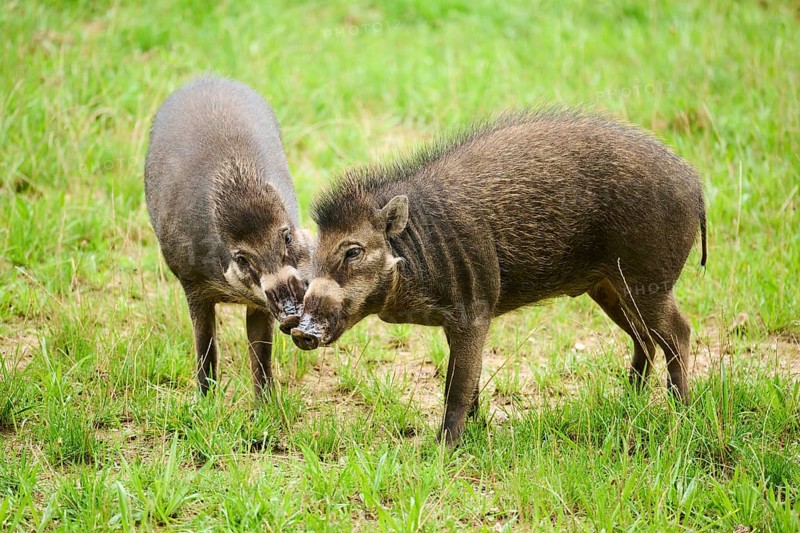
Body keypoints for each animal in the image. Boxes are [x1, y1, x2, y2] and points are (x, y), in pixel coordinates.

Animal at [145, 76, 310, 398]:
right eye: (241, 258)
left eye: (286, 236)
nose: (291, 313)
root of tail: (206, 78)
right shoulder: (193, 285)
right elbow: (205, 343)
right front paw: (204, 400)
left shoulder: (261, 304)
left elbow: (261, 351)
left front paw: (266, 403)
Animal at [288, 109, 707, 444]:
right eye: (314, 250)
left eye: (353, 250)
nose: (300, 330)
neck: (412, 249)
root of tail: (697, 186)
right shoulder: (457, 320)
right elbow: (468, 381)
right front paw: (475, 431)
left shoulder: (474, 310)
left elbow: (457, 385)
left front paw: (441, 449)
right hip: (608, 288)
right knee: (645, 340)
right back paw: (628, 401)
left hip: (649, 283)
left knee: (678, 333)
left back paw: (681, 413)